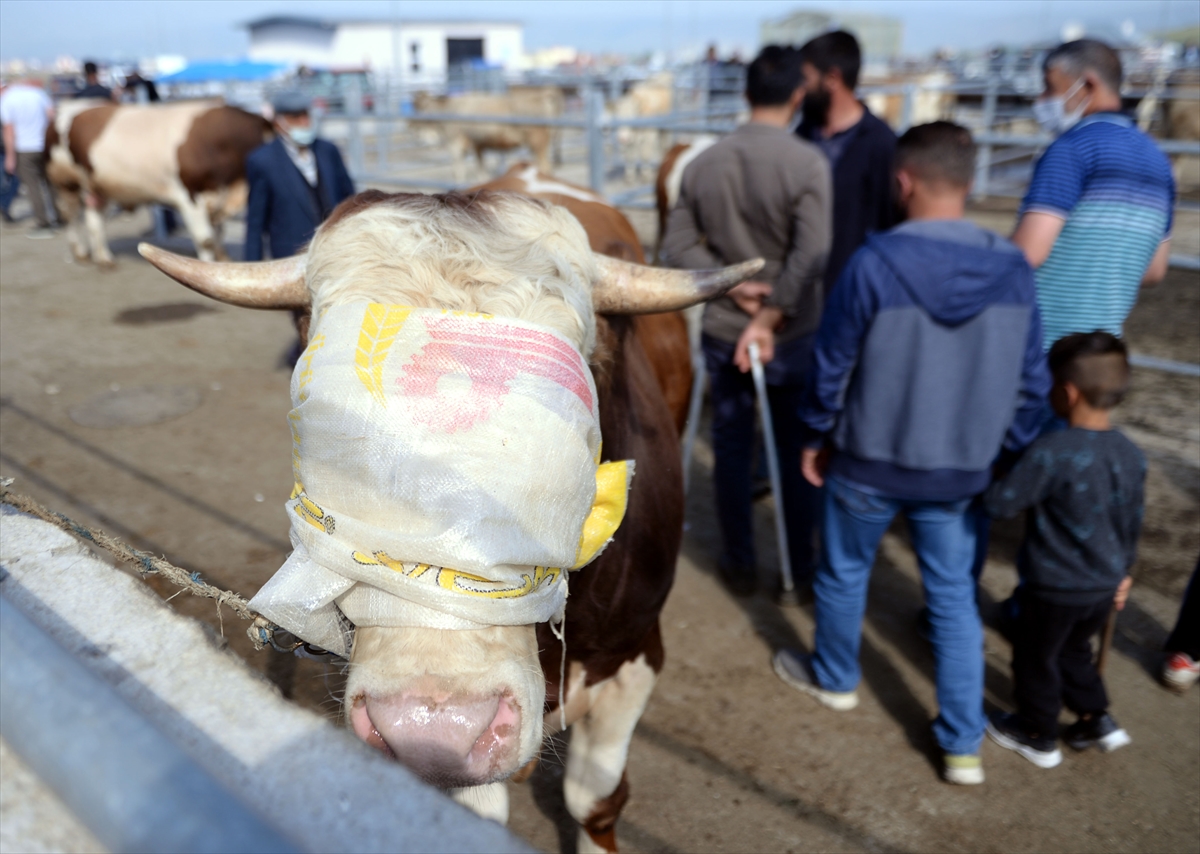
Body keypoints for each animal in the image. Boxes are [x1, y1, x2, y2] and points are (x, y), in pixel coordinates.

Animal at [46, 95, 270, 266]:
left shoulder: (215, 197)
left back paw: (104, 258)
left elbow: (218, 234)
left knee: (94, 219)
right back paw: (80, 252)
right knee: (70, 214)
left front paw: (224, 261)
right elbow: (205, 239)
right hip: (65, 182)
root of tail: (68, 104)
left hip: (98, 185)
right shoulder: (189, 197)